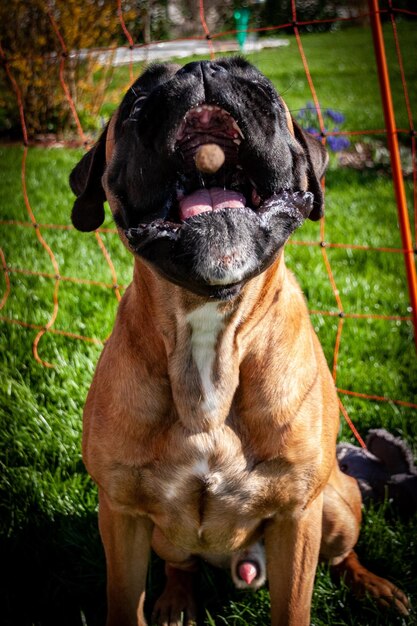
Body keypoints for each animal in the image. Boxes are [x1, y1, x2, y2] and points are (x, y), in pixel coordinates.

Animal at [70, 56, 408, 620]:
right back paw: (177, 601)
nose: (200, 68)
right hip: (163, 537)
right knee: (181, 565)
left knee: (344, 556)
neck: (209, 330)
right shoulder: (120, 515)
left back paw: (373, 585)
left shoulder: (298, 515)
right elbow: (124, 604)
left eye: (260, 85)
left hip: (337, 503)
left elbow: (293, 608)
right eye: (140, 95)